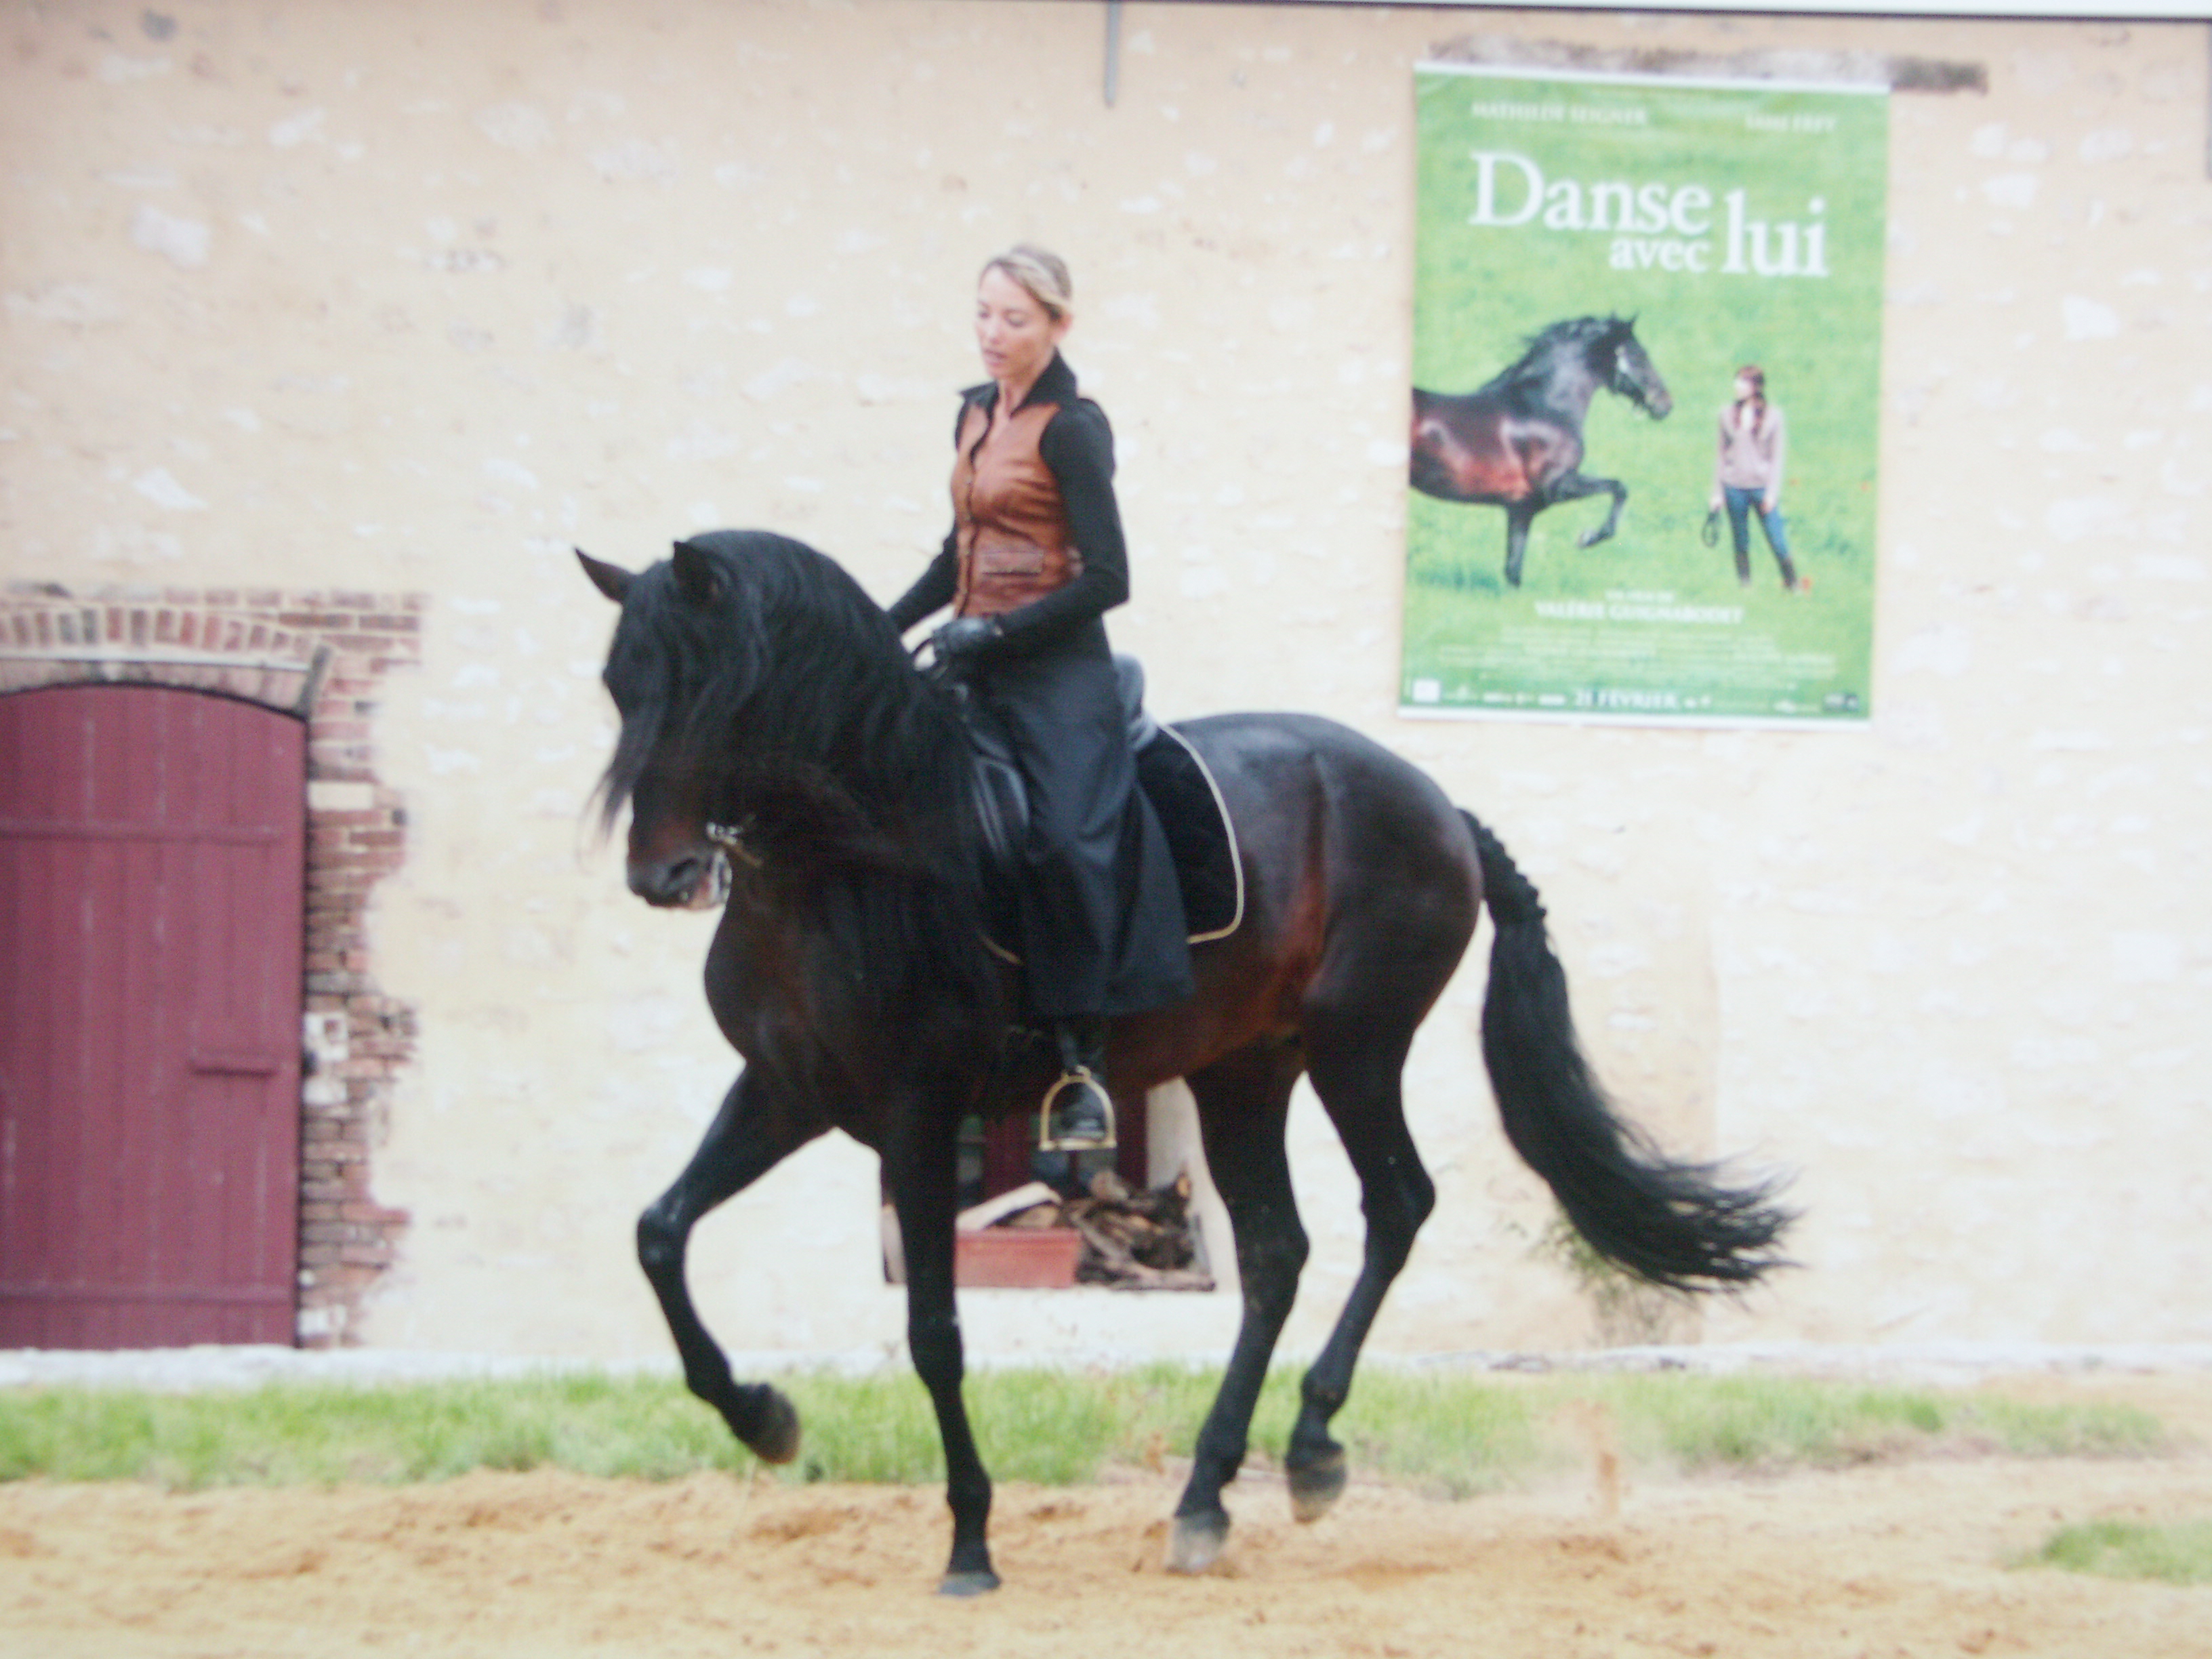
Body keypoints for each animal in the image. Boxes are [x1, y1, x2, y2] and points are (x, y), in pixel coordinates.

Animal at [579, 533, 1787, 1601]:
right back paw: (1208, 1498)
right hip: (1245, 1070)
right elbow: (658, 1232)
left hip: (1357, 1046)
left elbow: (933, 1331)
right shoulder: (789, 1092)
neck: (843, 863)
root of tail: (1437, 803)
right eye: (618, 686)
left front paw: (970, 1542)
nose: (662, 874)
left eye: (715, 691)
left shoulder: (921, 1114)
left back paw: (1310, 1449)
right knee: (1277, 1251)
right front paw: (763, 1417)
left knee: (1395, 1206)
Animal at [1415, 319, 1672, 592]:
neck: (1546, 408)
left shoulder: (1521, 508)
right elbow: (1619, 488)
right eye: (1639, 356)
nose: (1666, 405)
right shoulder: (1557, 486)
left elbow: (1513, 570)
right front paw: (1587, 538)